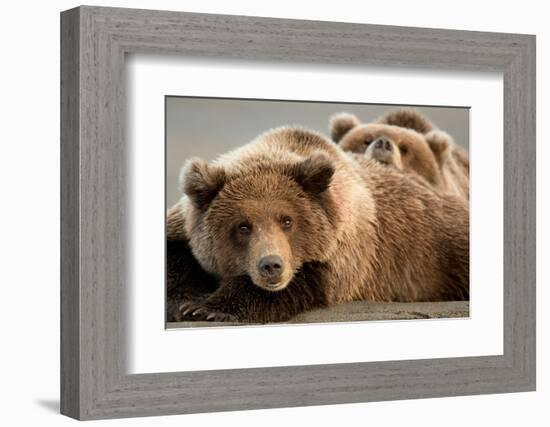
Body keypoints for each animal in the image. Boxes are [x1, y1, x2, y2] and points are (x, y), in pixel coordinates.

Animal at [168, 127, 470, 324]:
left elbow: (306, 280)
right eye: (243, 226)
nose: (271, 265)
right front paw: (187, 302)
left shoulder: (345, 247)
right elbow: (176, 257)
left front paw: (208, 308)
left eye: (287, 220)